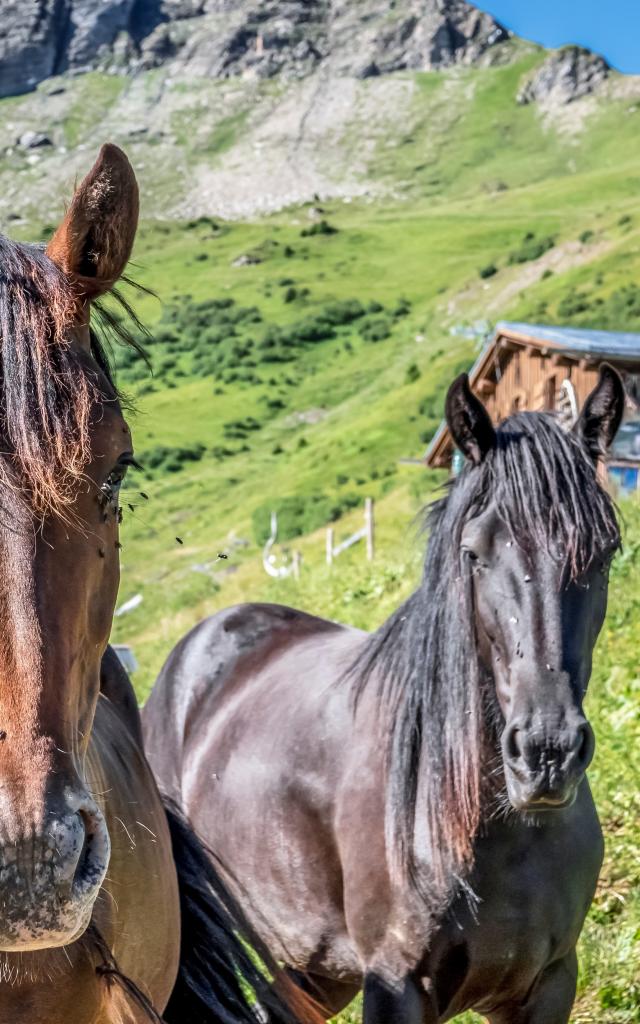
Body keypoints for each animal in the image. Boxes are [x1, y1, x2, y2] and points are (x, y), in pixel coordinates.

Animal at [142, 364, 622, 1019]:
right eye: (474, 552)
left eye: (605, 552)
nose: (547, 753)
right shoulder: (396, 983)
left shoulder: (548, 985)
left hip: (309, 965)